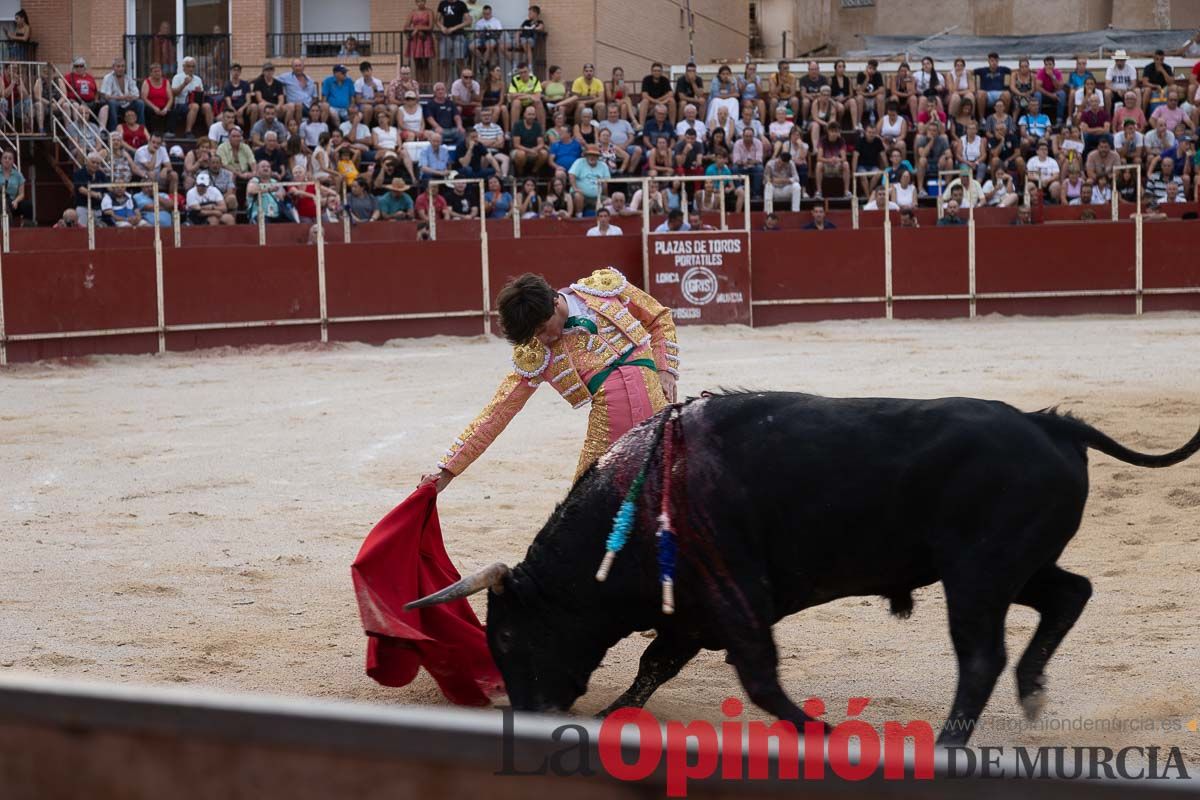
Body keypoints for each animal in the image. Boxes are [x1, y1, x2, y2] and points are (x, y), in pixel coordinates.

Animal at [405, 391, 1200, 748]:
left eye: (509, 639)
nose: (530, 714)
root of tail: (1050, 422)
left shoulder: (735, 603)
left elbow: (756, 679)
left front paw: (819, 731)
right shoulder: (695, 612)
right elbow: (655, 666)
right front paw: (612, 717)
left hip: (978, 576)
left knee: (981, 655)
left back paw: (950, 742)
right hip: (1014, 565)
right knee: (1070, 592)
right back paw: (1032, 692)